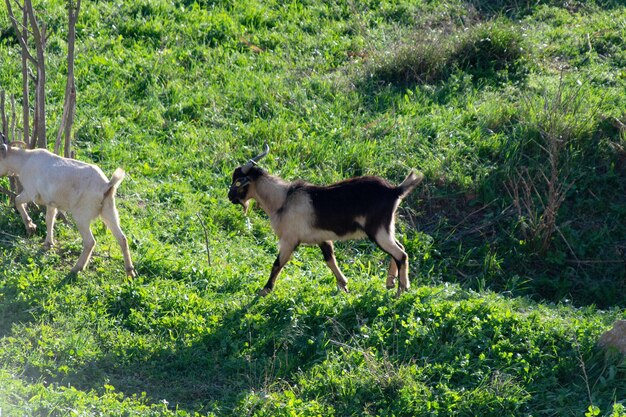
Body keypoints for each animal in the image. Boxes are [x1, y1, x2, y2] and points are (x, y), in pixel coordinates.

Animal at [0, 136, 135, 276]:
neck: (24, 161)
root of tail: (107, 186)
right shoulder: (51, 202)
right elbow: (49, 220)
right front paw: (48, 243)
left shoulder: (31, 192)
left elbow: (17, 200)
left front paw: (30, 227)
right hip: (109, 210)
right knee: (122, 238)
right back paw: (130, 272)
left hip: (82, 215)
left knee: (90, 242)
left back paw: (77, 268)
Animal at [227, 144, 422, 296]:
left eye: (237, 181)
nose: (230, 197)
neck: (283, 199)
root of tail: (395, 190)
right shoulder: (322, 238)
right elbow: (330, 260)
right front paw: (344, 286)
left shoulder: (289, 239)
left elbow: (277, 263)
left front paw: (265, 289)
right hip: (387, 228)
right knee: (399, 249)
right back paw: (390, 283)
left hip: (378, 231)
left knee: (401, 254)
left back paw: (401, 289)